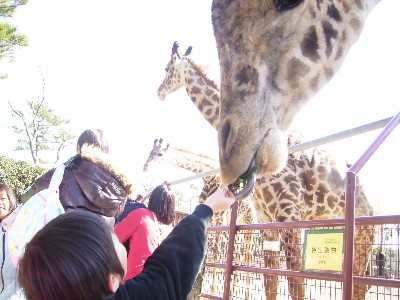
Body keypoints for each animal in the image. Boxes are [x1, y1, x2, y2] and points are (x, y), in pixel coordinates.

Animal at [158, 42, 376, 300]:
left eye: (166, 68)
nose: (159, 91)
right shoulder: (267, 223)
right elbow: (270, 282)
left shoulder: (290, 216)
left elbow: (295, 285)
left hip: (366, 231)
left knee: (359, 283)